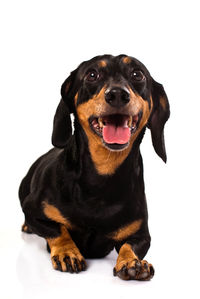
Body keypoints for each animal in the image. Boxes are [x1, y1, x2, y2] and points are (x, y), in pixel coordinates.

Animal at [18, 54, 170, 282]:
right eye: (92, 74)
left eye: (137, 74)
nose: (117, 94)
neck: (101, 178)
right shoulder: (33, 210)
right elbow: (58, 229)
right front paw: (67, 252)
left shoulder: (142, 233)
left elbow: (129, 245)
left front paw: (133, 262)